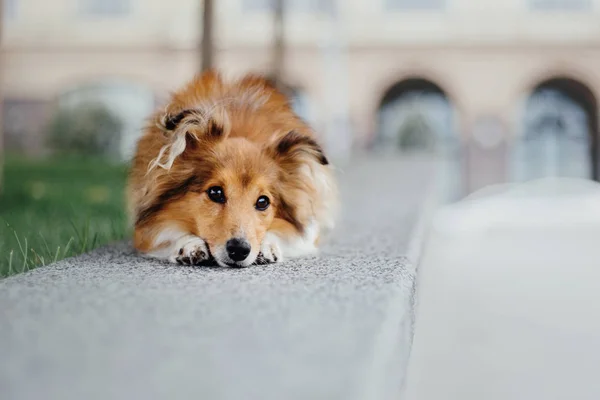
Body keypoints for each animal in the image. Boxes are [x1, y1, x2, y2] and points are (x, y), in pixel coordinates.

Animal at [125, 70, 338, 268]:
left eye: (263, 201)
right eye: (215, 192)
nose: (239, 250)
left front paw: (268, 247)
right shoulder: (144, 232)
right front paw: (190, 245)